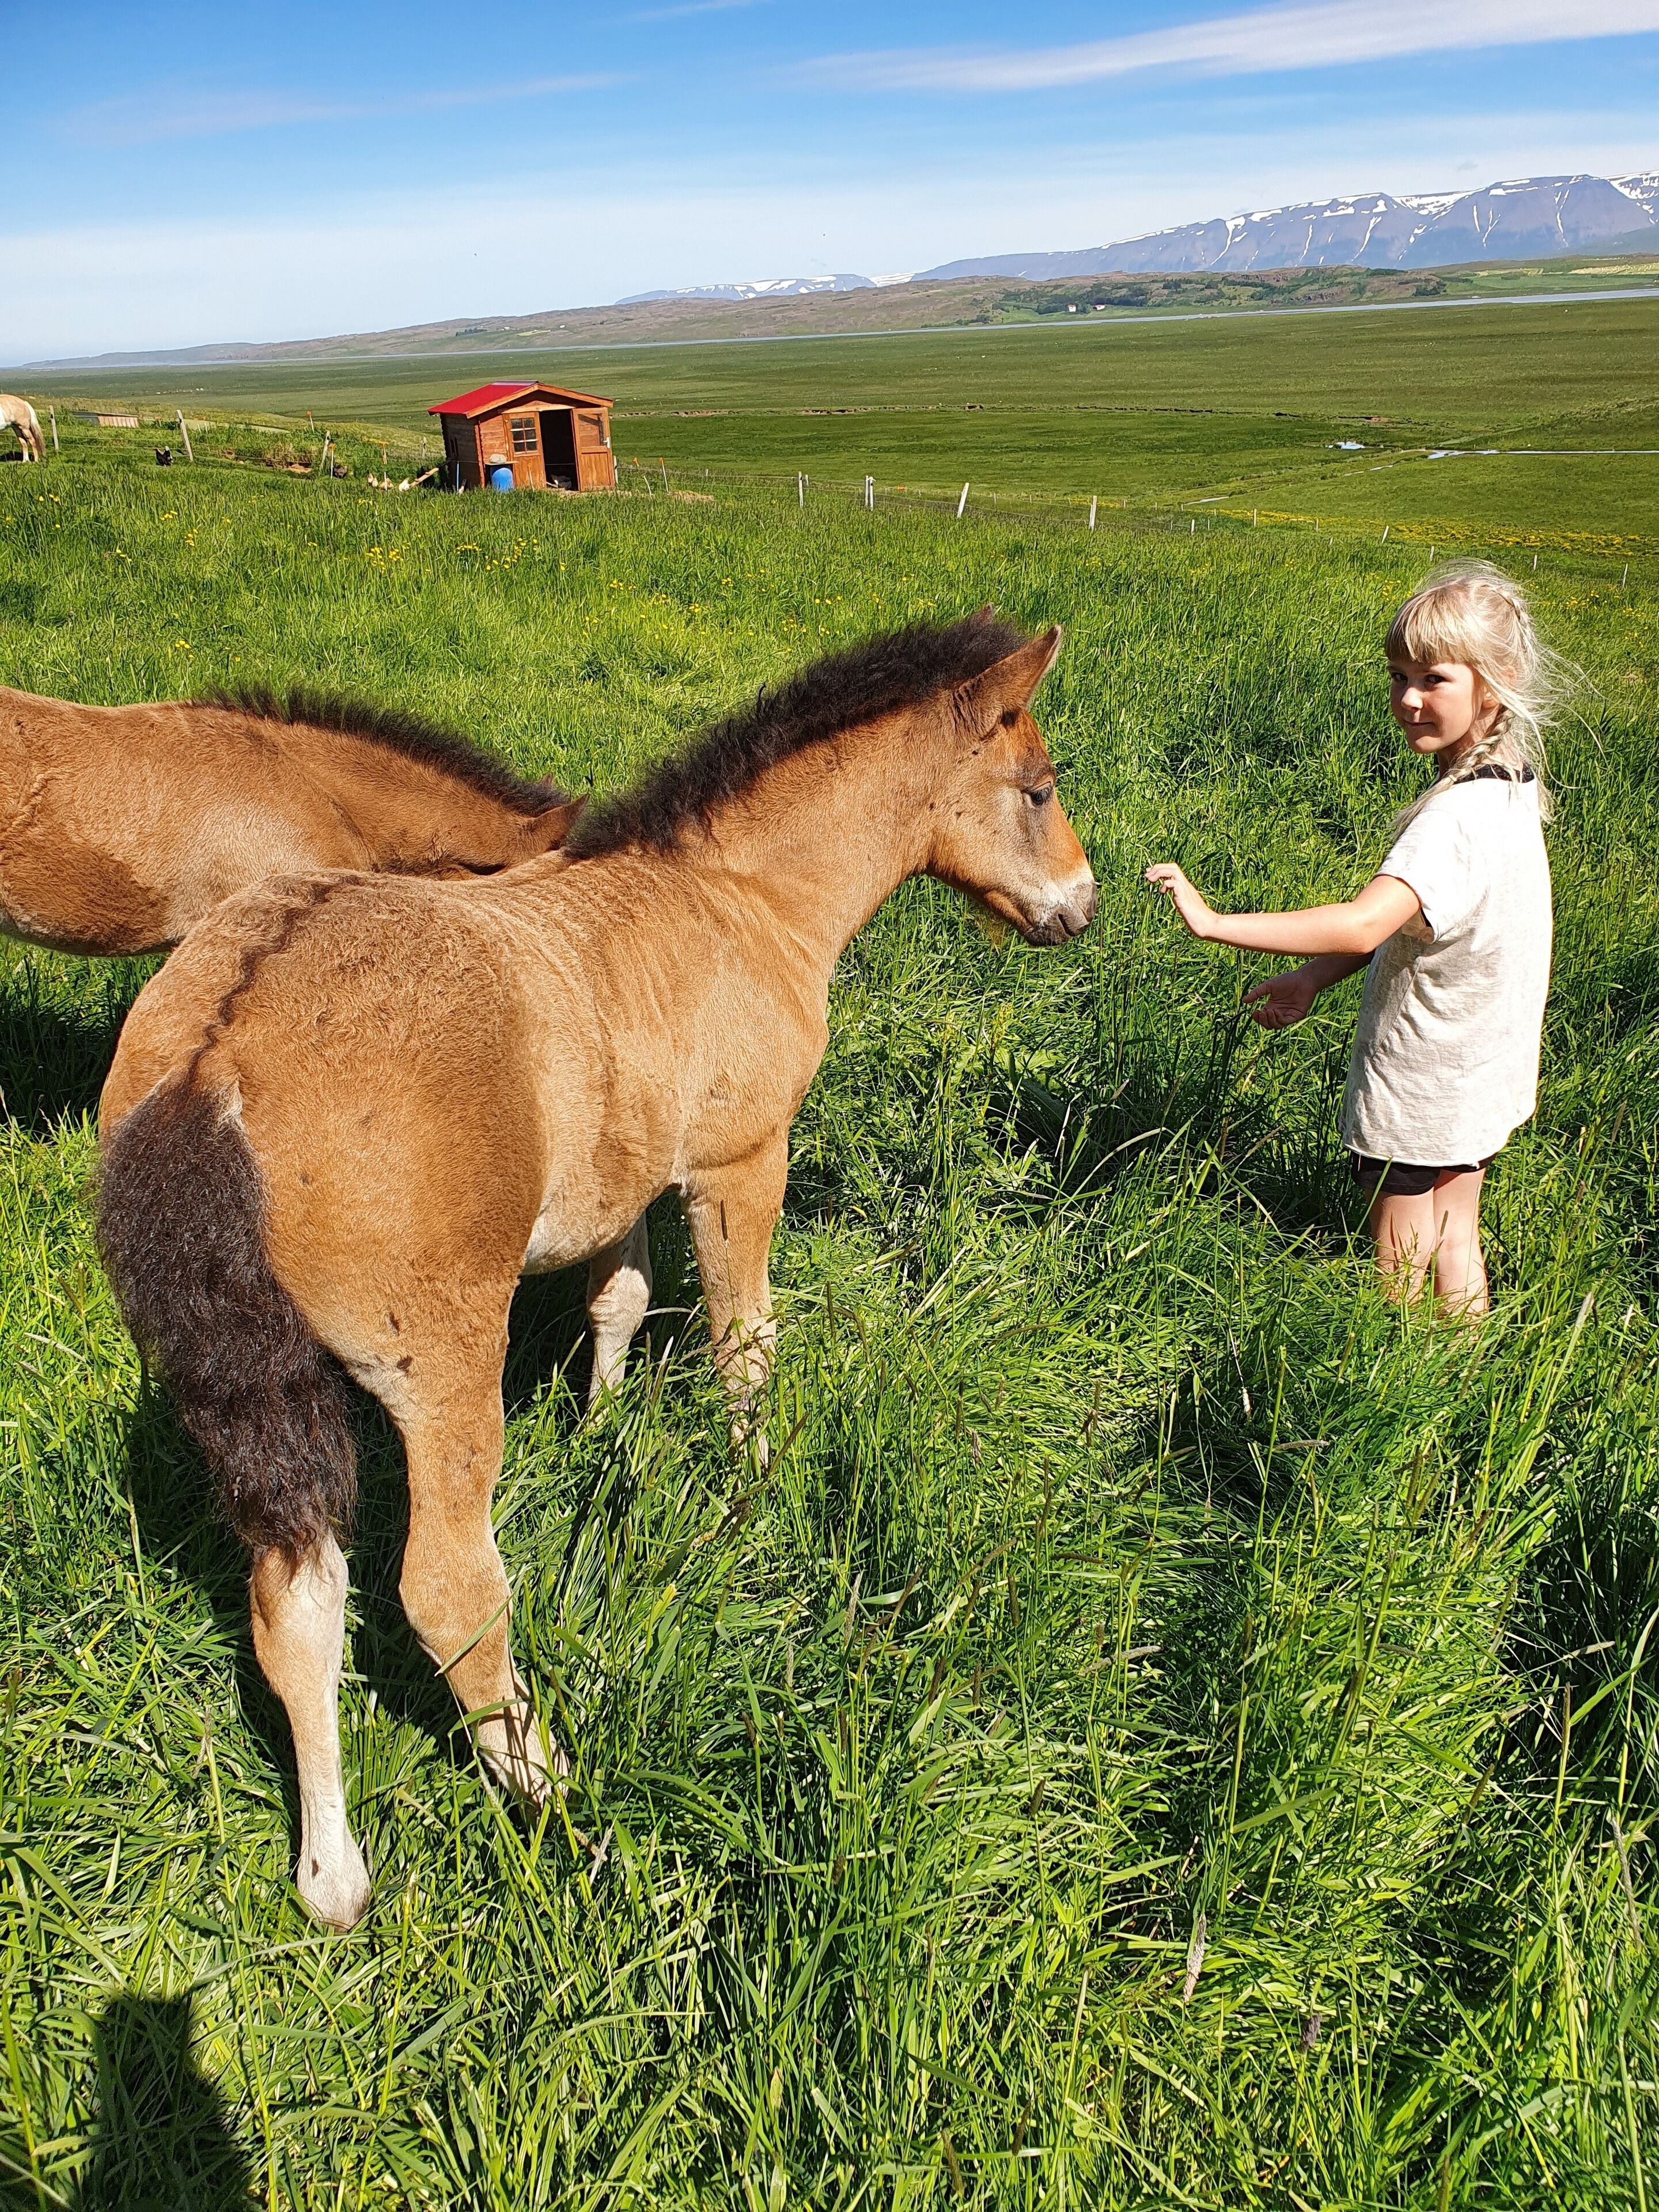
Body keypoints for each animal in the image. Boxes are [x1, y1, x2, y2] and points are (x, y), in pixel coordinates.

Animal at [95, 611, 1096, 1929]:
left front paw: (604, 1435)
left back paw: (333, 1876)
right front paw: (752, 1490)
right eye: (1037, 789)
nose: (1082, 907)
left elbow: (617, 1299)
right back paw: (548, 1785)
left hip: (269, 1384)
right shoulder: (738, 1163)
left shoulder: (624, 1178)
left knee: (293, 1598)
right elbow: (744, 1342)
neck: (742, 899)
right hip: (441, 1364)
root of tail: (218, 1042)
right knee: (446, 1589)